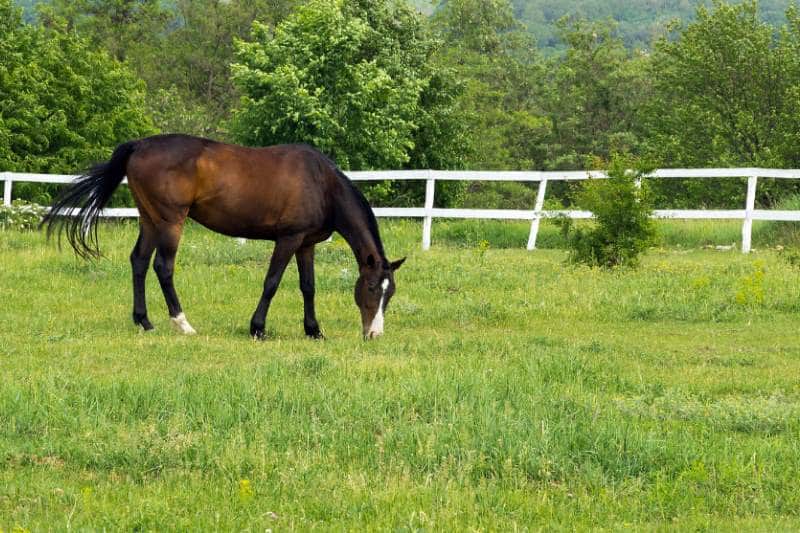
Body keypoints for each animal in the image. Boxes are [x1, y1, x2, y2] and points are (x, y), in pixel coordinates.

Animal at [42, 135, 406, 338]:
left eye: (389, 293)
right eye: (371, 288)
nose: (374, 334)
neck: (321, 183)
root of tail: (139, 145)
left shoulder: (306, 244)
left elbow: (308, 287)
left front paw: (313, 330)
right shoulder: (288, 239)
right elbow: (272, 282)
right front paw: (257, 328)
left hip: (149, 219)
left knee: (139, 262)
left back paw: (144, 322)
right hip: (171, 221)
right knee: (163, 267)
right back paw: (183, 324)